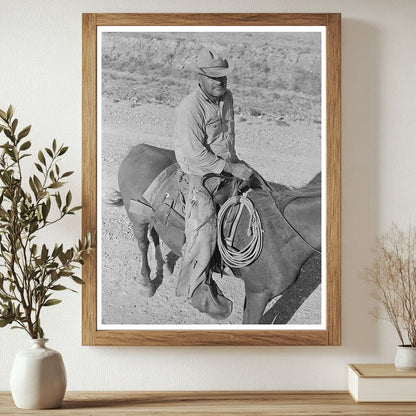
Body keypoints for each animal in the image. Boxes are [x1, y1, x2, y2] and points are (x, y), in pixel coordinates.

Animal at [112, 144, 320, 324]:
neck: (278, 234)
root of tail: (138, 148)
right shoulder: (258, 294)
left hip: (152, 218)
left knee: (155, 234)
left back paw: (164, 266)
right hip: (137, 219)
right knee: (143, 244)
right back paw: (147, 284)